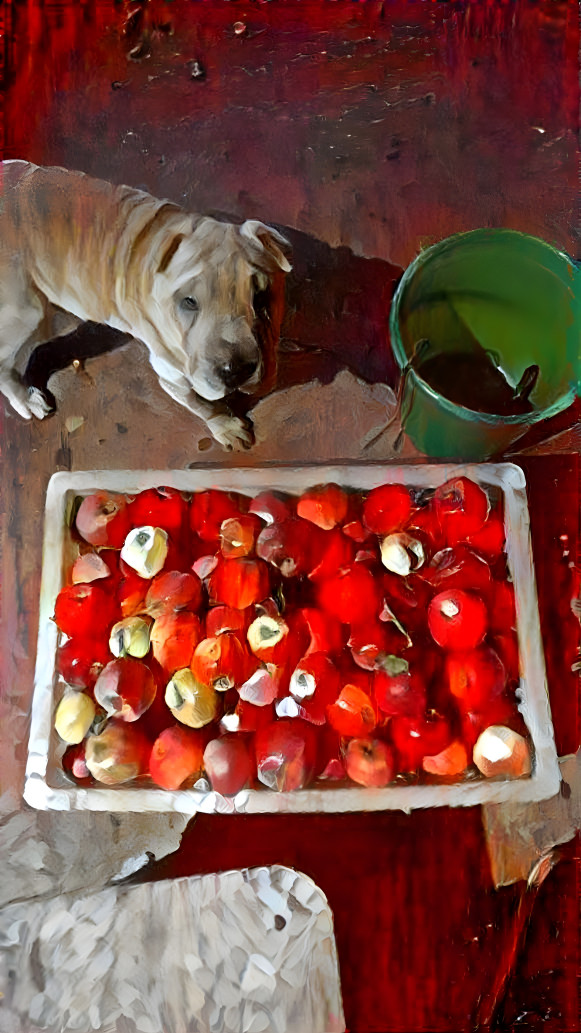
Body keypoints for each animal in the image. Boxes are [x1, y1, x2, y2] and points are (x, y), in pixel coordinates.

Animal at [0, 161, 289, 448]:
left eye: (260, 297)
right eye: (189, 302)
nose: (238, 370)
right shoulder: (171, 370)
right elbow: (200, 404)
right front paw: (225, 425)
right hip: (27, 312)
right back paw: (28, 401)